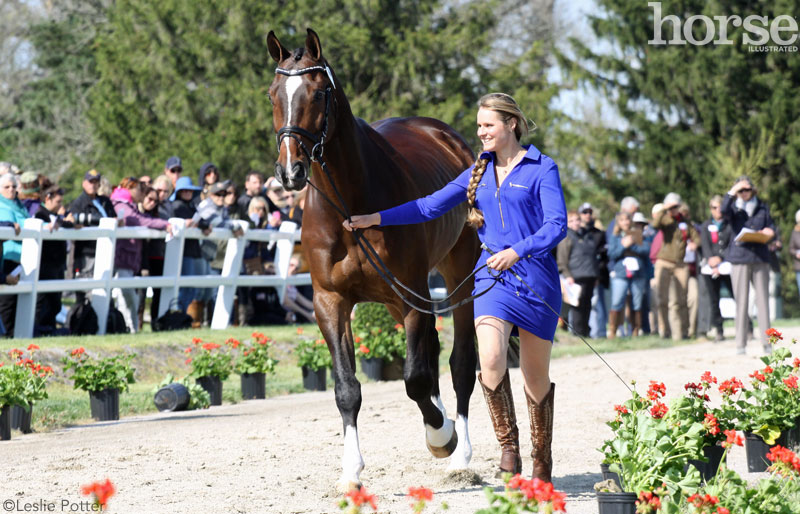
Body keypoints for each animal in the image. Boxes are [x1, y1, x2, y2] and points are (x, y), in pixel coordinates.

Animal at [268, 29, 482, 488]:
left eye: (318, 93)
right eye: (274, 94)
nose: (290, 171)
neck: (349, 204)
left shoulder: (412, 293)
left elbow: (416, 379)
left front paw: (442, 437)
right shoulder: (330, 302)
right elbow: (347, 388)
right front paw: (351, 470)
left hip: (458, 278)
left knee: (458, 364)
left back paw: (459, 451)